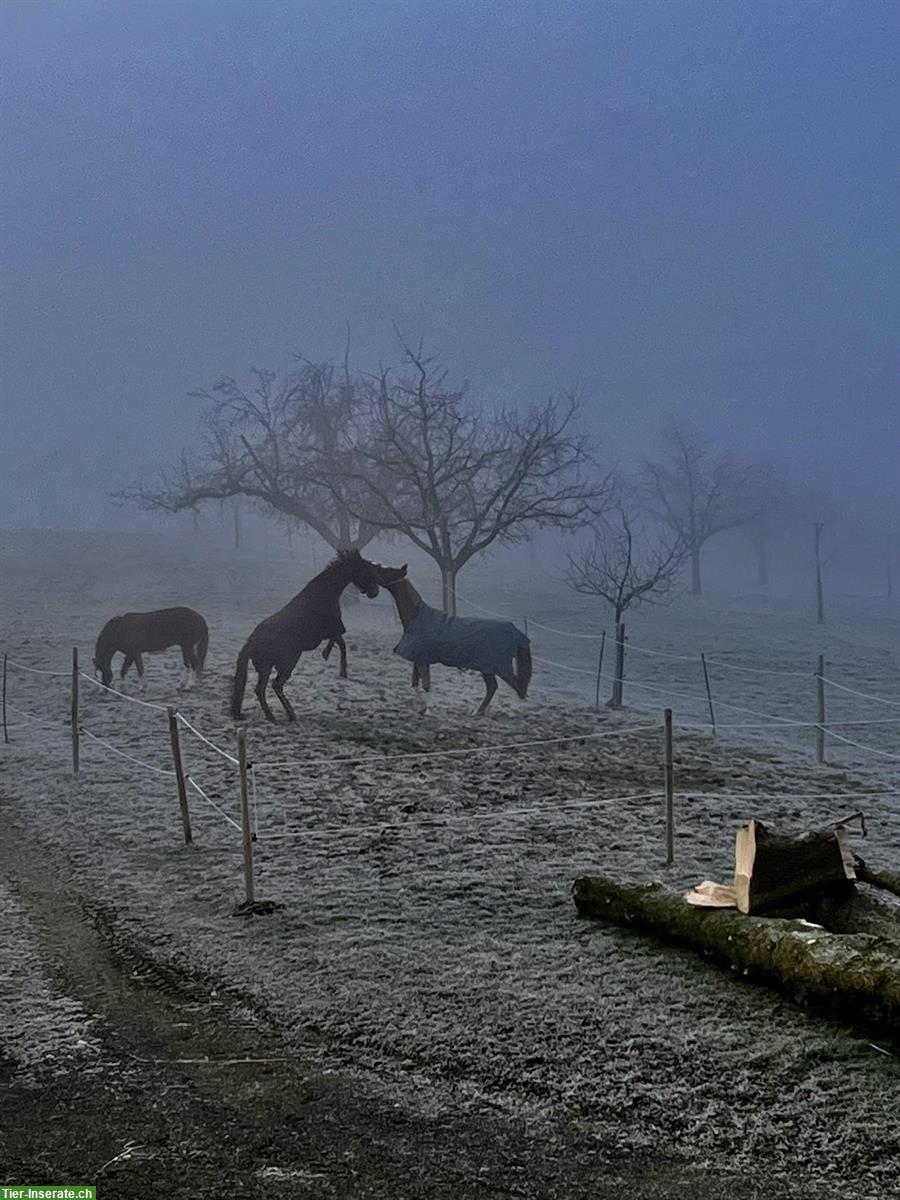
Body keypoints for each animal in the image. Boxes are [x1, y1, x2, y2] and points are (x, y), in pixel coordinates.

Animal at [230, 549, 388, 720]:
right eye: (364, 569)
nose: (374, 592)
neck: (321, 596)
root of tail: (250, 642)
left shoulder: (331, 632)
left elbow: (340, 642)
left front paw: (333, 662)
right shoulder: (331, 630)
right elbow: (340, 643)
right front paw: (335, 663)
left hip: (269, 667)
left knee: (264, 688)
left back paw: (278, 715)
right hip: (285, 663)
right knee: (272, 686)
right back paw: (283, 715)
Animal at [369, 561, 532, 710]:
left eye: (388, 571)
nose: (374, 565)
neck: (417, 617)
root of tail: (515, 632)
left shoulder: (422, 660)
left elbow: (425, 685)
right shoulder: (419, 658)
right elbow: (416, 682)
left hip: (495, 667)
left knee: (514, 688)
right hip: (489, 668)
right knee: (496, 687)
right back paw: (478, 712)